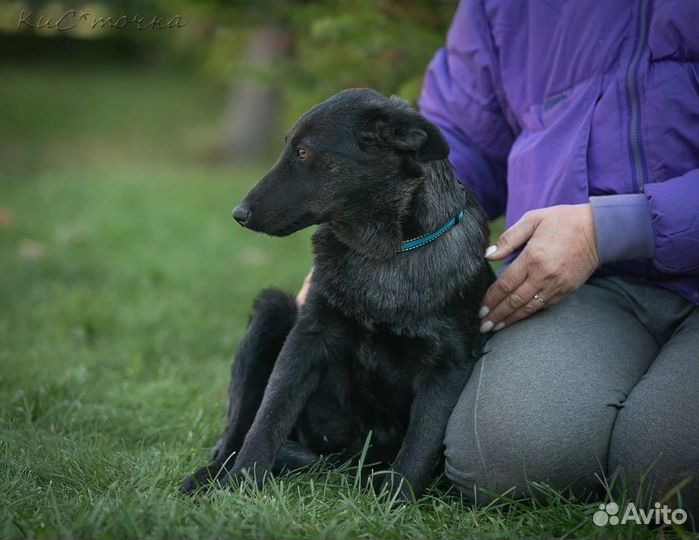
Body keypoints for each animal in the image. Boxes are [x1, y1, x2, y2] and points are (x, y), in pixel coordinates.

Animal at [183, 87, 494, 498]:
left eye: (303, 153)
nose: (238, 214)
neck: (382, 254)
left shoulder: (447, 368)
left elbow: (418, 448)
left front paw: (395, 500)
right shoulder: (308, 336)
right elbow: (268, 417)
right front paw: (243, 481)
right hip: (273, 310)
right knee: (238, 427)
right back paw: (213, 474)